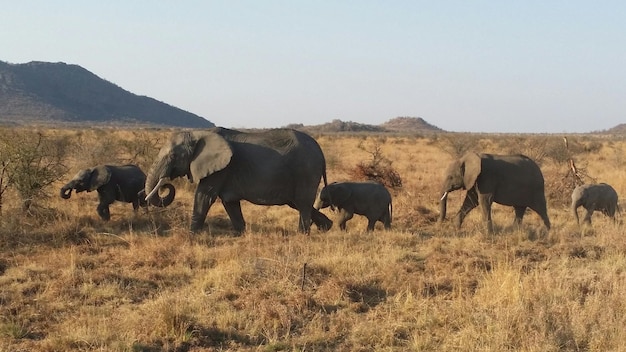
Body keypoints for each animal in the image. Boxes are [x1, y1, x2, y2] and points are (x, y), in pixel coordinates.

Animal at [143, 127, 334, 234]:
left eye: (173, 156)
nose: (166, 184)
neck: (198, 133)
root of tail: (321, 152)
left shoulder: (220, 169)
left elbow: (204, 196)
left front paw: (191, 235)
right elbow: (229, 202)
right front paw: (241, 234)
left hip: (306, 171)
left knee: (302, 203)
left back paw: (302, 235)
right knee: (299, 203)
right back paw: (326, 227)